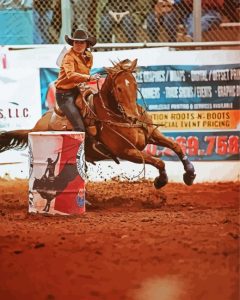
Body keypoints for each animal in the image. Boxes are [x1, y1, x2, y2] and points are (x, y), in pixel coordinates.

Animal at [0, 59, 195, 189]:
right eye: (119, 88)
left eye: (134, 84)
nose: (133, 117)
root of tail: (35, 127)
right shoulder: (127, 151)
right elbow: (158, 161)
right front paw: (160, 181)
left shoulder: (152, 134)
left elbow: (176, 146)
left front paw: (190, 174)